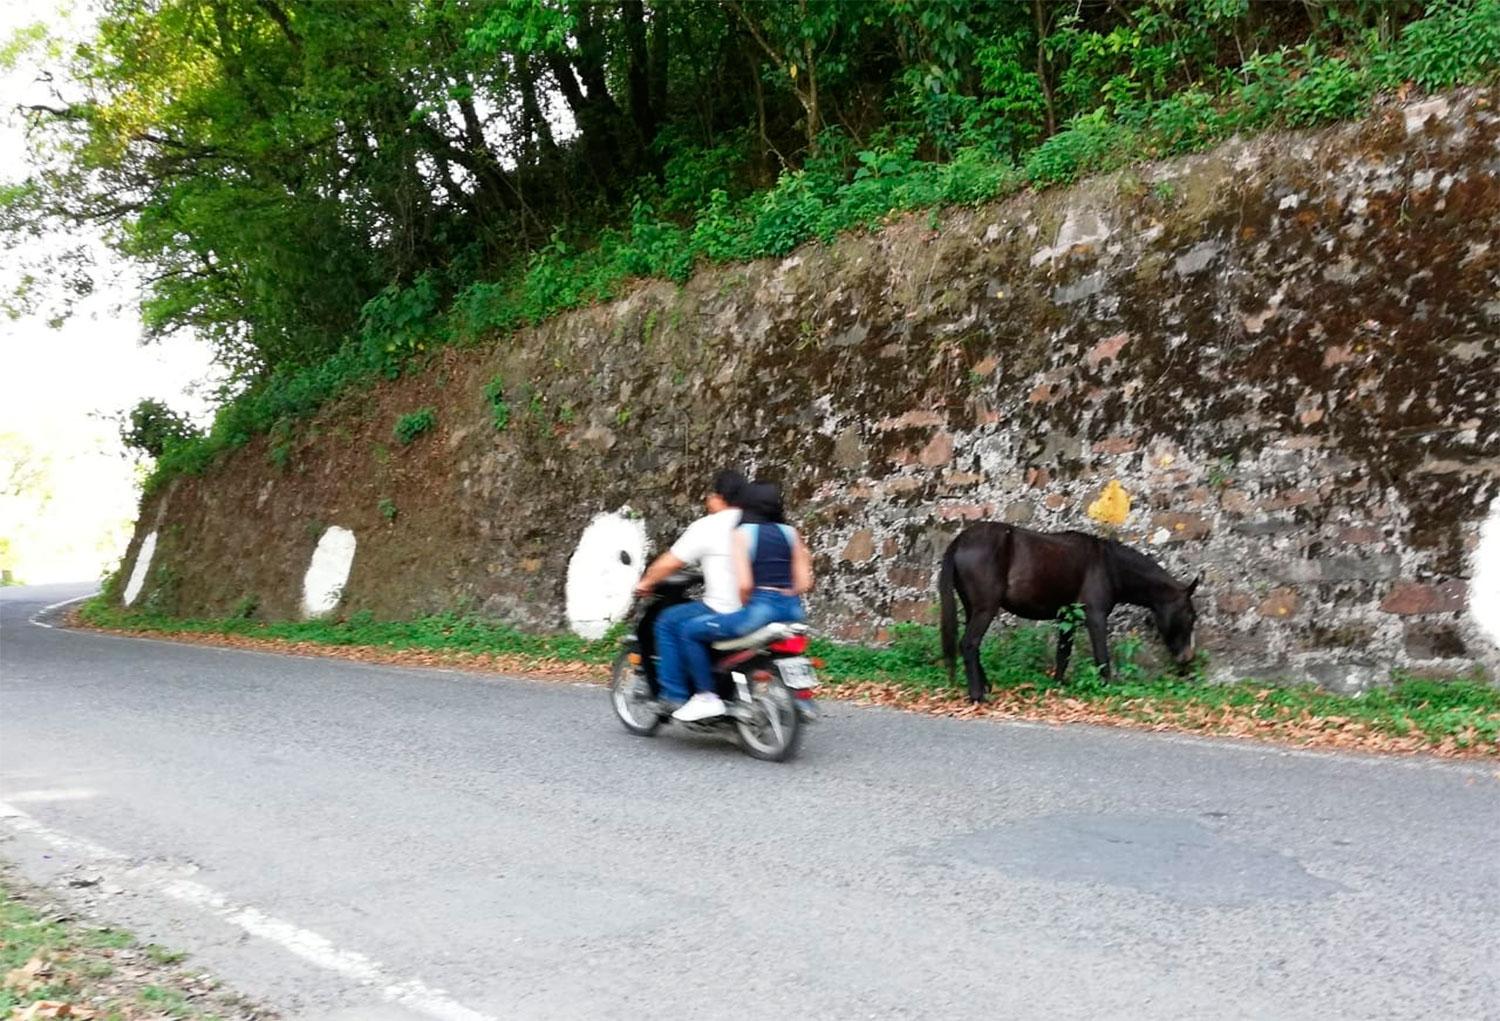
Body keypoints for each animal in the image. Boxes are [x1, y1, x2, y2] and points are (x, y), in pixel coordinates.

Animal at [942, 524, 1200, 701]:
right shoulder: (1095, 617)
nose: (1188, 657)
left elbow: (1063, 654)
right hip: (985, 608)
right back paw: (978, 695)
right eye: (1190, 616)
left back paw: (986, 687)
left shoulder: (1068, 619)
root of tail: (959, 541)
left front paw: (1058, 685)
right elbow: (1101, 656)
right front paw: (1106, 688)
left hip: (972, 609)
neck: (1109, 565)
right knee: (969, 644)